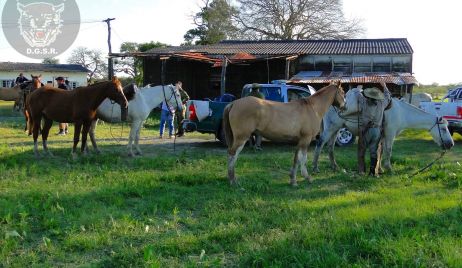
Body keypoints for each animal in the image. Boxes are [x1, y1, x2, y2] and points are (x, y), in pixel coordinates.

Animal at [312, 87, 452, 173]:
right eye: (444, 129)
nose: (450, 144)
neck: (402, 113)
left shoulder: (383, 135)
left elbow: (380, 152)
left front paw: (379, 170)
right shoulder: (390, 133)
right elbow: (388, 150)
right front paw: (389, 169)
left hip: (335, 130)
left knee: (330, 147)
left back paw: (335, 167)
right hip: (330, 129)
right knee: (320, 144)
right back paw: (315, 168)